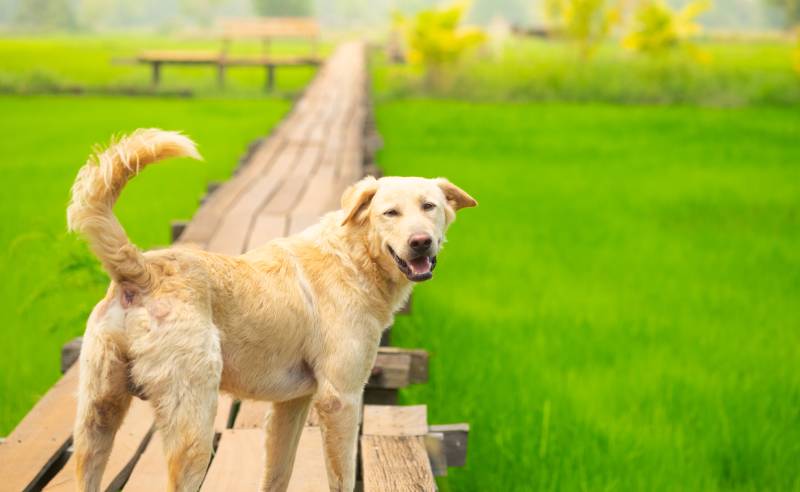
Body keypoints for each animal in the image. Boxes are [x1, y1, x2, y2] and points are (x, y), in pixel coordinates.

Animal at [67, 129, 476, 490]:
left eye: (429, 207)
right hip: (194, 426)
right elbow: (341, 477)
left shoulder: (291, 403)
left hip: (96, 419)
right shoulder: (340, 398)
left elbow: (278, 472)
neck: (353, 257)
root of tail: (142, 269)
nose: (420, 242)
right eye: (390, 213)